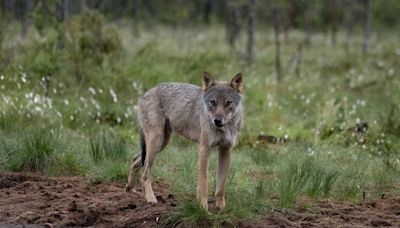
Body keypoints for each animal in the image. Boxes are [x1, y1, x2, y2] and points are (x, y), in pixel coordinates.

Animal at [126, 71, 244, 210]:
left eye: (228, 103)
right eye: (213, 102)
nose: (217, 120)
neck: (224, 128)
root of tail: (146, 93)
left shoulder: (226, 150)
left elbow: (221, 186)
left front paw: (221, 209)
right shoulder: (204, 148)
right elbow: (203, 183)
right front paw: (203, 208)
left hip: (160, 144)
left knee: (135, 159)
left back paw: (130, 189)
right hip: (156, 143)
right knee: (145, 174)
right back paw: (150, 198)